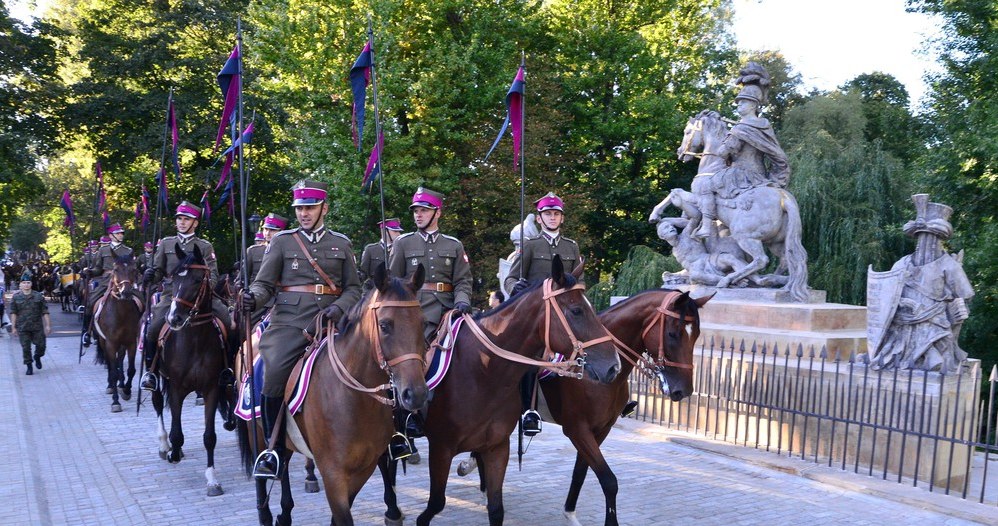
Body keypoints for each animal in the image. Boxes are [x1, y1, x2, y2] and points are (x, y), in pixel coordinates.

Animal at [91, 258, 145, 414]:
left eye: (134, 269)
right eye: (115, 270)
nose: (125, 292)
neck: (121, 312)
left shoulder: (131, 342)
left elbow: (131, 369)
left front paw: (126, 390)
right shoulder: (110, 343)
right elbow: (113, 371)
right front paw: (115, 401)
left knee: (120, 360)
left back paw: (121, 385)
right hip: (104, 342)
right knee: (111, 364)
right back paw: (111, 386)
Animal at [149, 243, 231, 500]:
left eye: (197, 279)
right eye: (173, 278)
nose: (174, 318)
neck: (194, 340)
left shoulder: (211, 388)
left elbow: (209, 437)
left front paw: (212, 480)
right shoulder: (176, 388)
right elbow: (177, 432)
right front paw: (173, 451)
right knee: (157, 403)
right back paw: (164, 445)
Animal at [240, 264, 432, 526]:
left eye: (422, 323)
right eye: (385, 325)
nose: (416, 394)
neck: (355, 399)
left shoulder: (363, 468)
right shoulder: (333, 473)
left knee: (284, 464)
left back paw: (285, 512)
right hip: (257, 433)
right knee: (263, 474)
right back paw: (266, 510)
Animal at [378, 258, 620, 526]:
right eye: (577, 311)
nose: (613, 366)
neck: (482, 371)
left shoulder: (497, 447)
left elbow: (496, 509)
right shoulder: (441, 448)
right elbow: (435, 503)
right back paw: (392, 509)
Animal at [652, 109, 808, 302]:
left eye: (687, 132)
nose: (680, 152)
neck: (713, 165)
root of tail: (783, 196)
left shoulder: (698, 198)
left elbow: (678, 194)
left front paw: (655, 215)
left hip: (746, 237)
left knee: (761, 260)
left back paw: (730, 280)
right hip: (776, 241)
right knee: (787, 260)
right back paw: (780, 284)